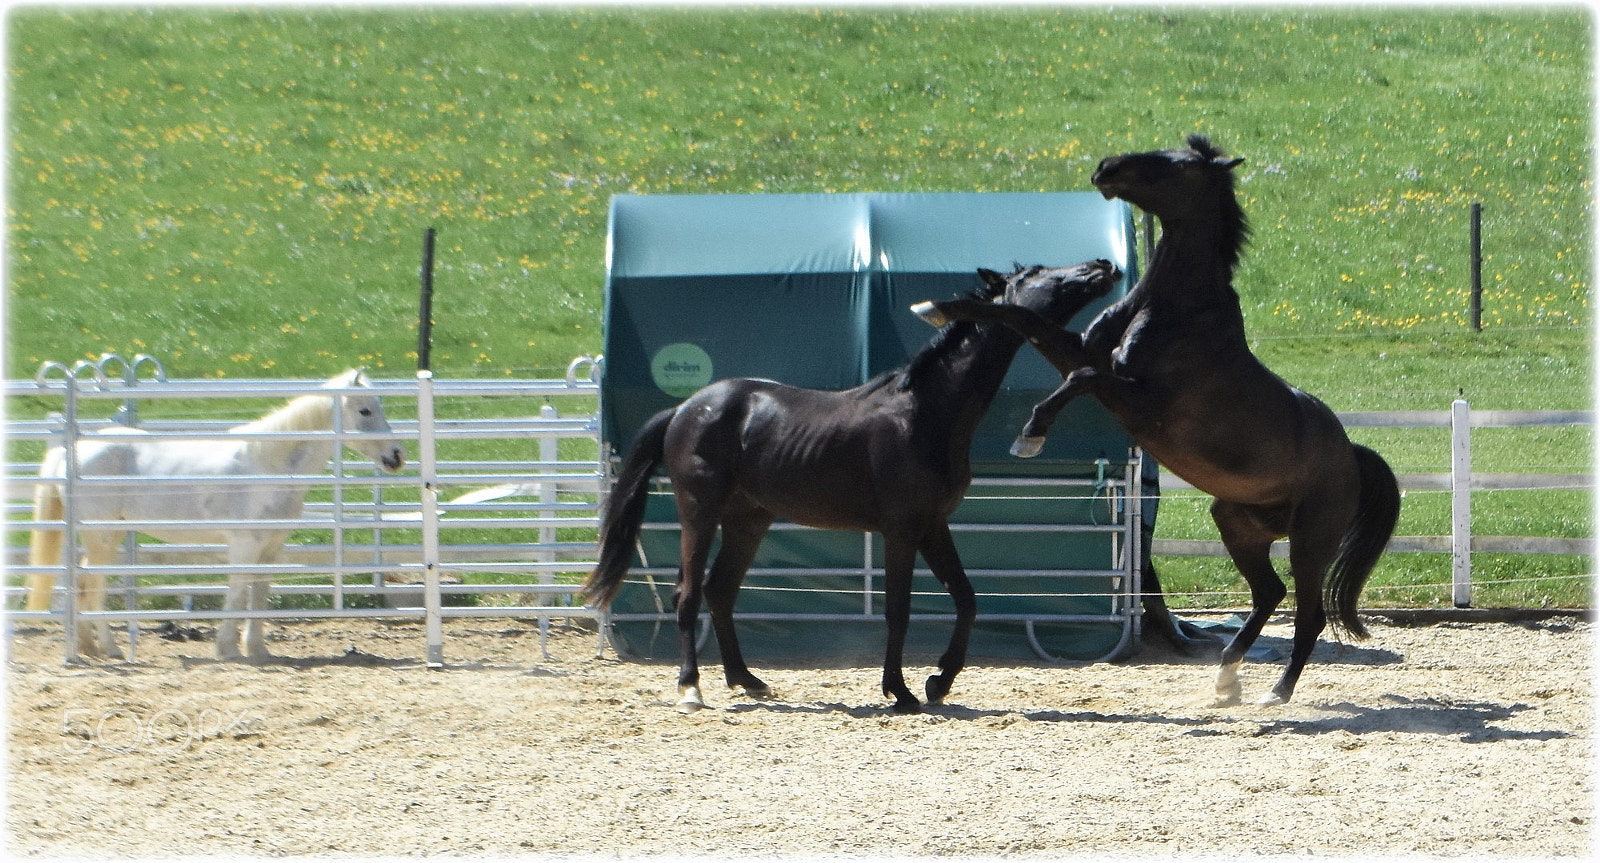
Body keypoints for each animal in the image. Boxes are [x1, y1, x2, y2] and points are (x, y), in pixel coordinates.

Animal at [25, 369, 407, 661]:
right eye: (365, 411)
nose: (396, 456)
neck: (266, 466)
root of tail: (71, 451)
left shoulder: (270, 549)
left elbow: (259, 596)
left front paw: (258, 650)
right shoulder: (244, 546)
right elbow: (237, 595)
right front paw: (228, 649)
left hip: (106, 534)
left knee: (81, 582)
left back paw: (88, 647)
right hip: (101, 536)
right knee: (94, 587)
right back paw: (111, 648)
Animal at [583, 260, 1121, 713]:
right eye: (1039, 273)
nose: (1101, 266)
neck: (927, 409)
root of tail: (686, 409)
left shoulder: (933, 525)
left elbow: (967, 598)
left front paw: (938, 682)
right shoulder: (900, 530)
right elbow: (898, 609)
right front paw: (901, 691)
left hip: (748, 520)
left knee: (720, 592)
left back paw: (750, 681)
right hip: (700, 511)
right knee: (689, 593)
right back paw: (690, 688)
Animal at [911, 135, 1401, 706]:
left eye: (1181, 165)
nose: (1106, 168)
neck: (1176, 308)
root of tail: (1352, 455)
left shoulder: (1141, 404)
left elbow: (1080, 379)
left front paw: (1030, 436)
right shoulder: (1085, 353)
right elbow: (1025, 320)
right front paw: (937, 307)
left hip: (1310, 541)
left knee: (1309, 614)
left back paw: (1275, 692)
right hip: (1237, 524)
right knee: (1269, 593)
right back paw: (1227, 677)